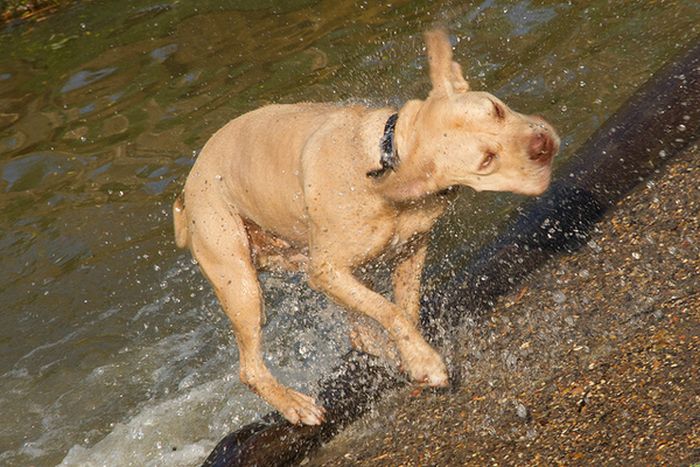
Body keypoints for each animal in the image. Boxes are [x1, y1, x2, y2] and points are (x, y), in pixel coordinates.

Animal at [172, 27, 560, 426]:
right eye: (486, 160)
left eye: (496, 110)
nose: (542, 143)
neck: (386, 158)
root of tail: (186, 194)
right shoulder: (327, 270)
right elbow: (390, 311)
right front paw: (426, 363)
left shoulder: (409, 250)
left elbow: (405, 309)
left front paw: (411, 355)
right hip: (241, 282)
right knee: (250, 367)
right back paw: (295, 405)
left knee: (357, 331)